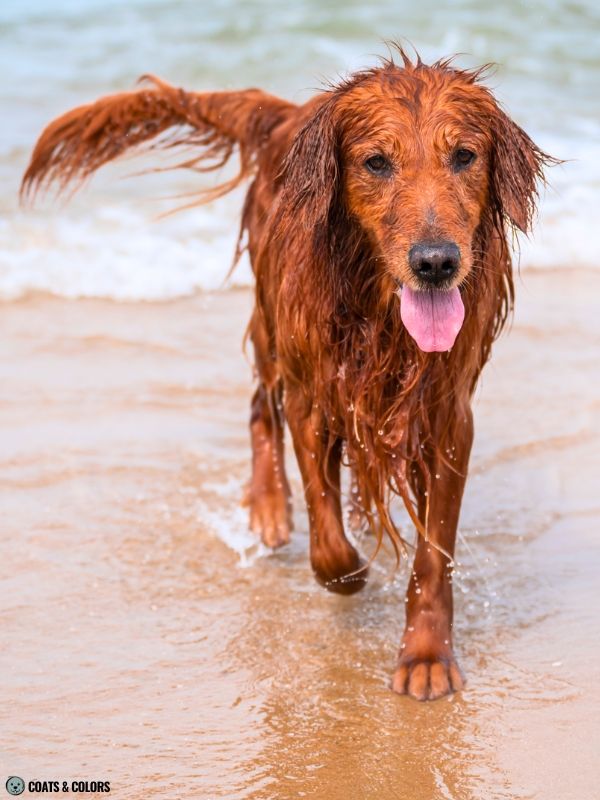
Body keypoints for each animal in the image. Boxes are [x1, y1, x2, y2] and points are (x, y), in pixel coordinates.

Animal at [21, 50, 556, 700]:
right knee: (259, 407)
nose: (436, 263)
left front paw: (426, 654)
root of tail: (284, 116)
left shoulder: (446, 416)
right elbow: (327, 545)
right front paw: (351, 571)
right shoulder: (313, 393)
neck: (379, 312)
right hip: (272, 326)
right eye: (376, 162)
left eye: (464, 156)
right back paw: (270, 507)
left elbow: (434, 552)